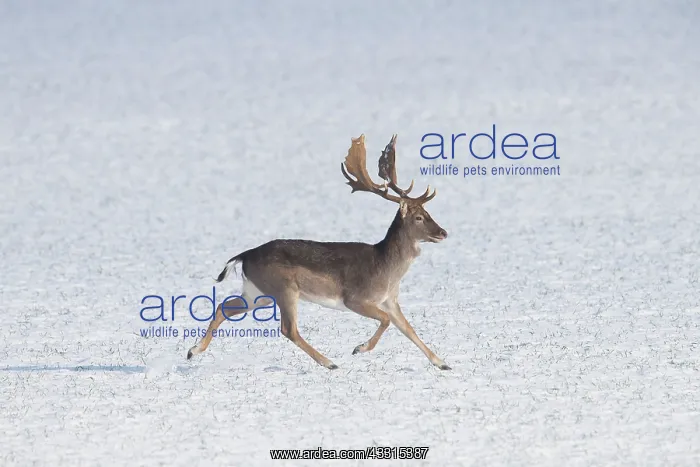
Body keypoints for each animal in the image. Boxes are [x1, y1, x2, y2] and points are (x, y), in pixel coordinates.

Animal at [186, 134, 451, 370]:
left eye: (429, 213)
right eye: (418, 217)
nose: (443, 232)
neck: (386, 270)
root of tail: (245, 255)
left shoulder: (390, 301)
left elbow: (409, 328)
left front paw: (442, 363)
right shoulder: (355, 297)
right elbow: (386, 322)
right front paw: (359, 348)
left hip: (257, 292)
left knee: (225, 307)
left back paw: (193, 351)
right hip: (284, 288)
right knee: (288, 329)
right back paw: (329, 362)